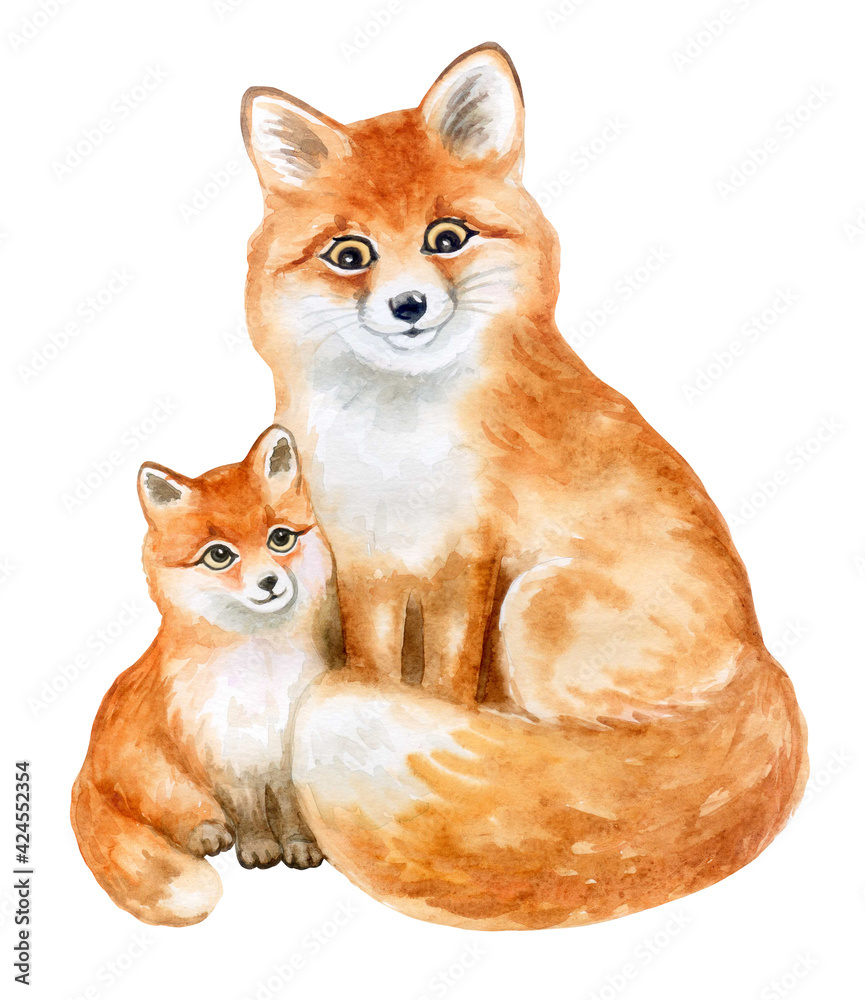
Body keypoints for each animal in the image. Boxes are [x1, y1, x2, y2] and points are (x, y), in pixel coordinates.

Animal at [71, 426, 339, 926]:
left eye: (280, 538)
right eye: (219, 555)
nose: (269, 582)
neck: (260, 676)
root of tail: (85, 770)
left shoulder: (283, 752)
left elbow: (290, 811)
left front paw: (299, 846)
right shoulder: (222, 754)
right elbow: (249, 814)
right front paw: (259, 848)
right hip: (161, 777)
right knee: (176, 819)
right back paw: (208, 834)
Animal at [240, 44, 808, 928]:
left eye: (446, 238)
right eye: (349, 255)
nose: (409, 305)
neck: (396, 444)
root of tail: (762, 665)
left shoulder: (467, 559)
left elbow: (441, 679)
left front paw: (444, 717)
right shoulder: (365, 557)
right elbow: (375, 665)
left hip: (537, 608)